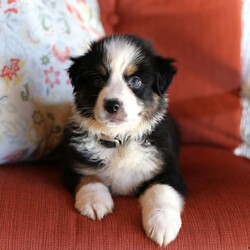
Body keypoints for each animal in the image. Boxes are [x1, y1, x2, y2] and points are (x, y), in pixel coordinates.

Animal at [63, 33, 187, 246]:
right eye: (97, 80)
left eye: (135, 81)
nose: (112, 105)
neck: (119, 140)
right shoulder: (75, 165)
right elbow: (89, 178)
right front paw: (95, 202)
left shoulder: (167, 168)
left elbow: (162, 191)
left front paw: (163, 224)